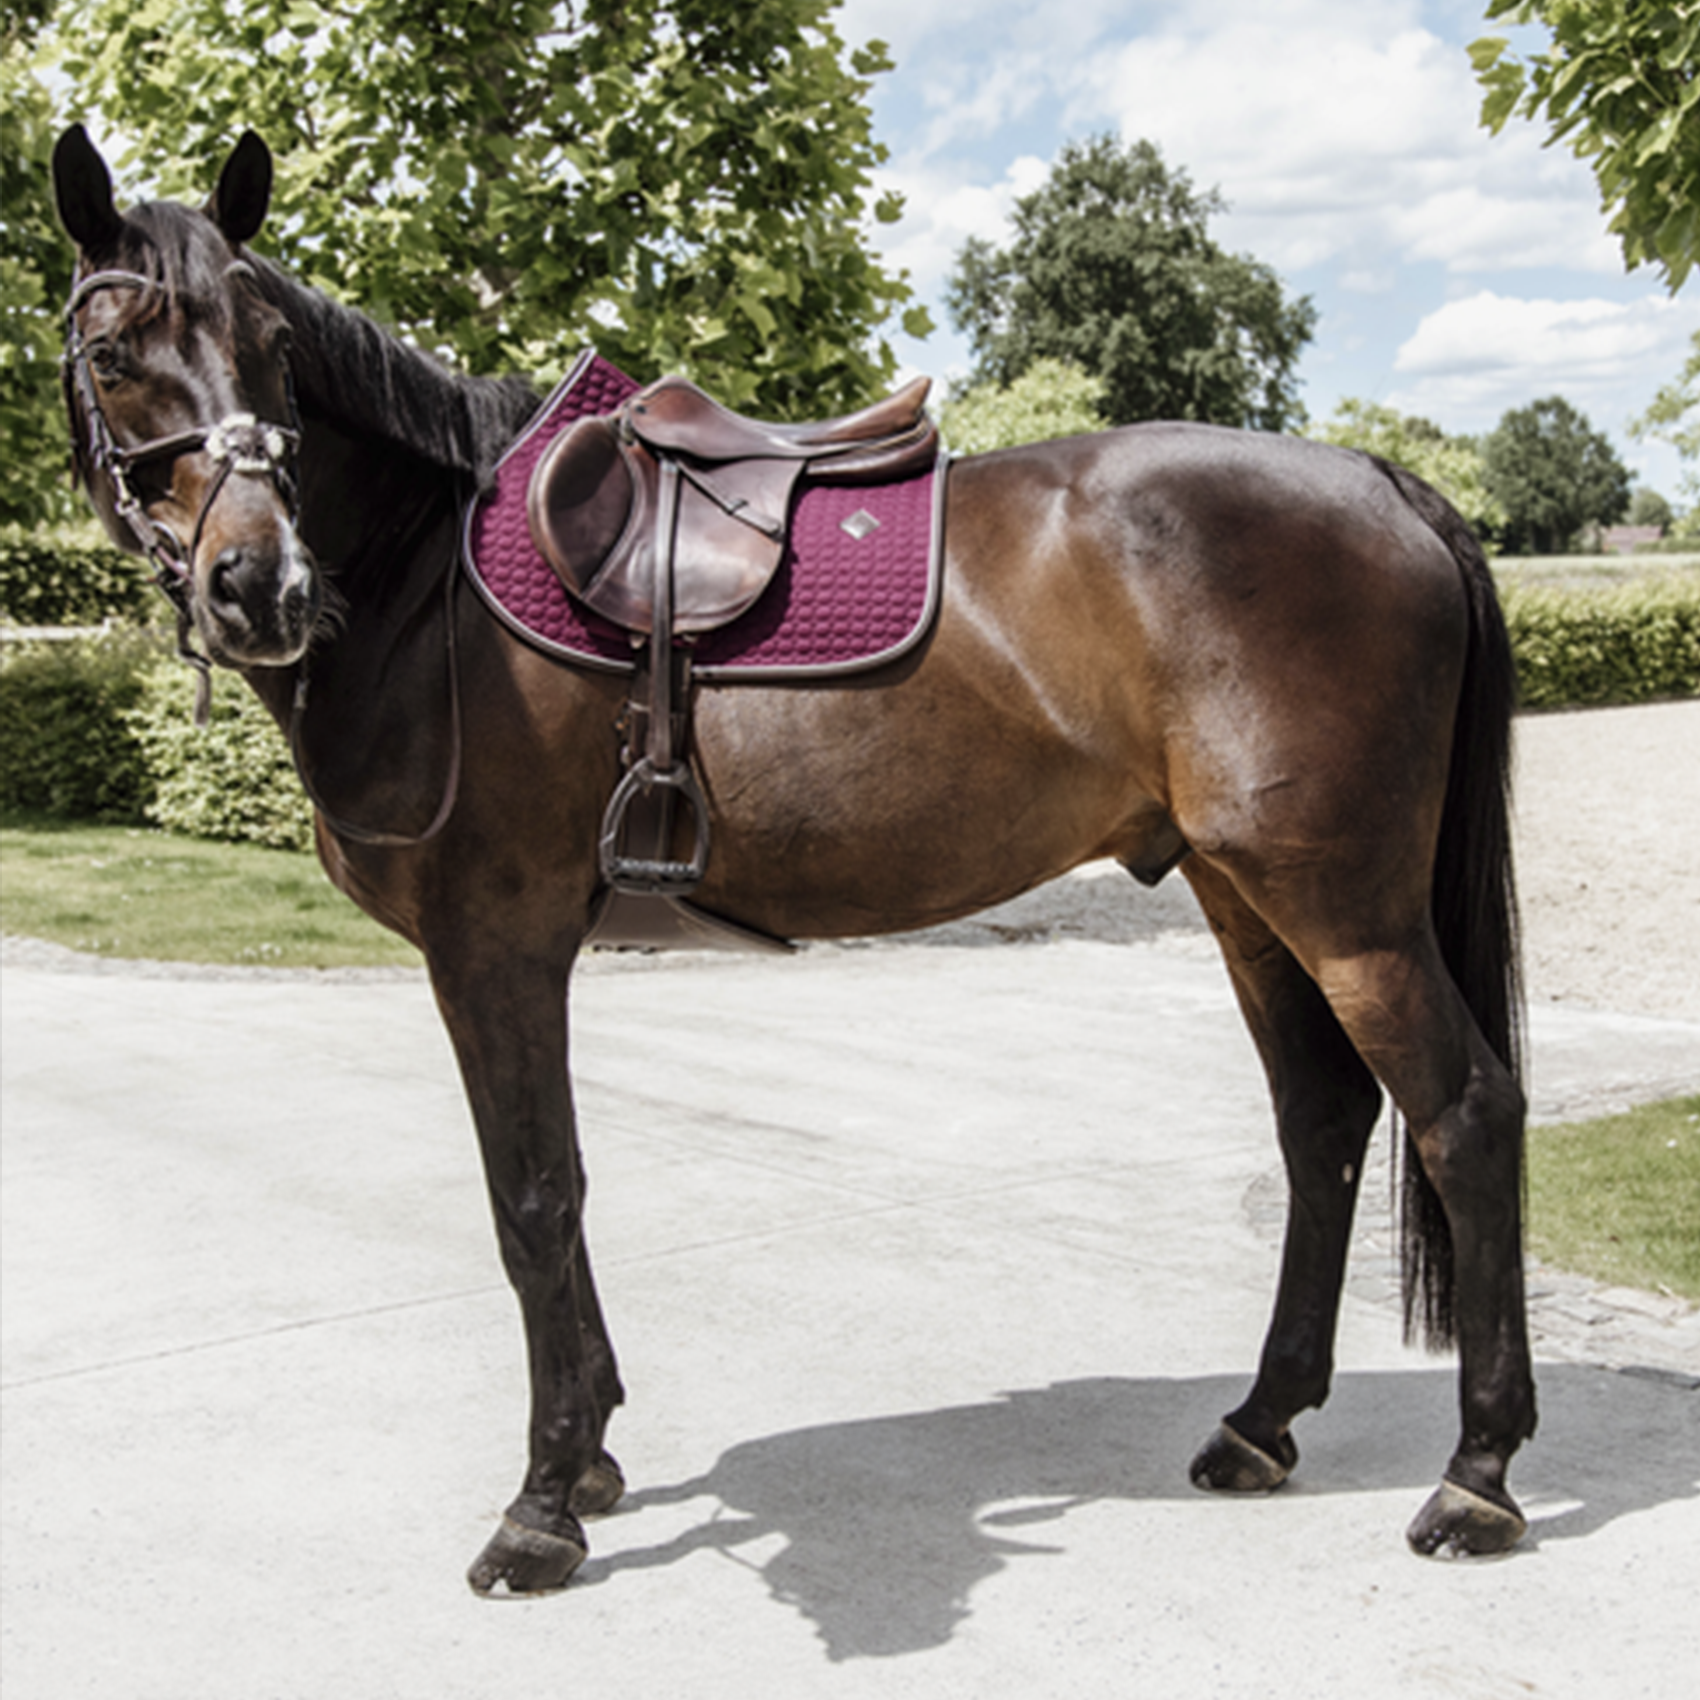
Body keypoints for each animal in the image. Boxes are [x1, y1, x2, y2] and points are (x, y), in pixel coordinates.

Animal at [56, 123, 1543, 1591]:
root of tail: (1388, 482)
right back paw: (1261, 1422)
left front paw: (540, 1506)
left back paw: (1476, 1476)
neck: (432, 590)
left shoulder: (495, 945)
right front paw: (589, 1456)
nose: (261, 585)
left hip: (1346, 911)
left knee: (1467, 1111)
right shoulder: (516, 956)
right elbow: (562, 1192)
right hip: (1245, 897)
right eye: (114, 356)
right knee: (1323, 1121)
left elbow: (531, 1200)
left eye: (271, 349)